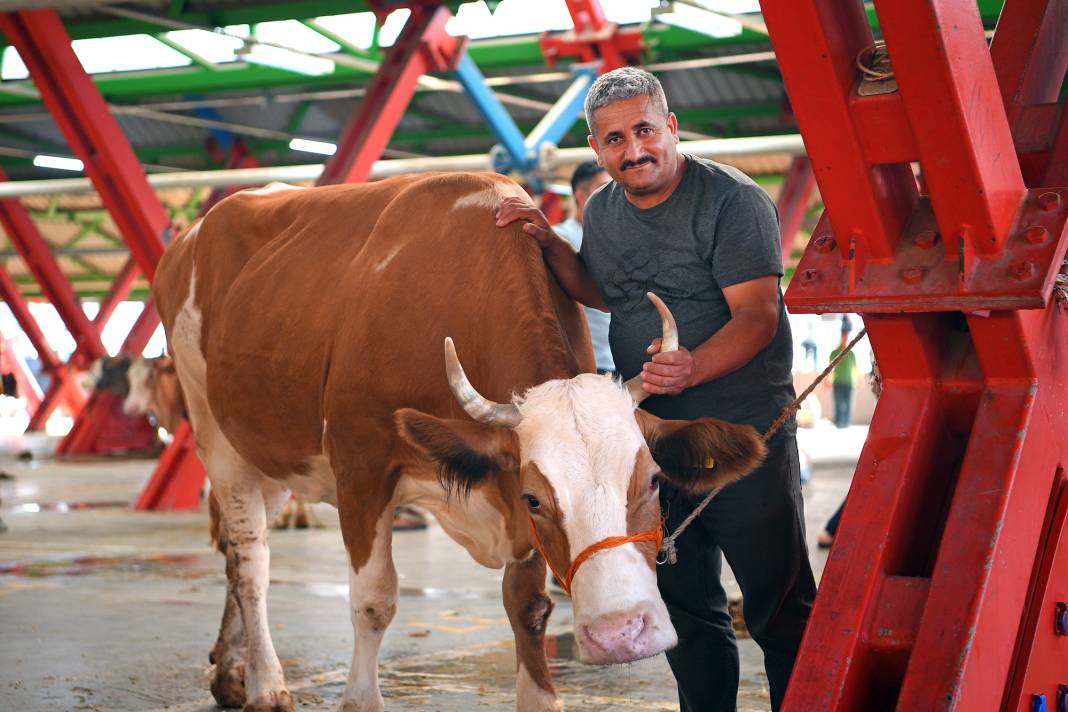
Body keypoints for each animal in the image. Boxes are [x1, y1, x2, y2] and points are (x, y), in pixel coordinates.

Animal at [152, 173, 768, 712]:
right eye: (536, 498)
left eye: (655, 481)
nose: (622, 633)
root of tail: (194, 233)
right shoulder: (360, 464)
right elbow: (374, 600)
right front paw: (360, 698)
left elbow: (529, 608)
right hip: (217, 438)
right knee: (250, 559)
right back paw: (265, 684)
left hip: (275, 454)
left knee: (236, 553)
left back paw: (231, 673)